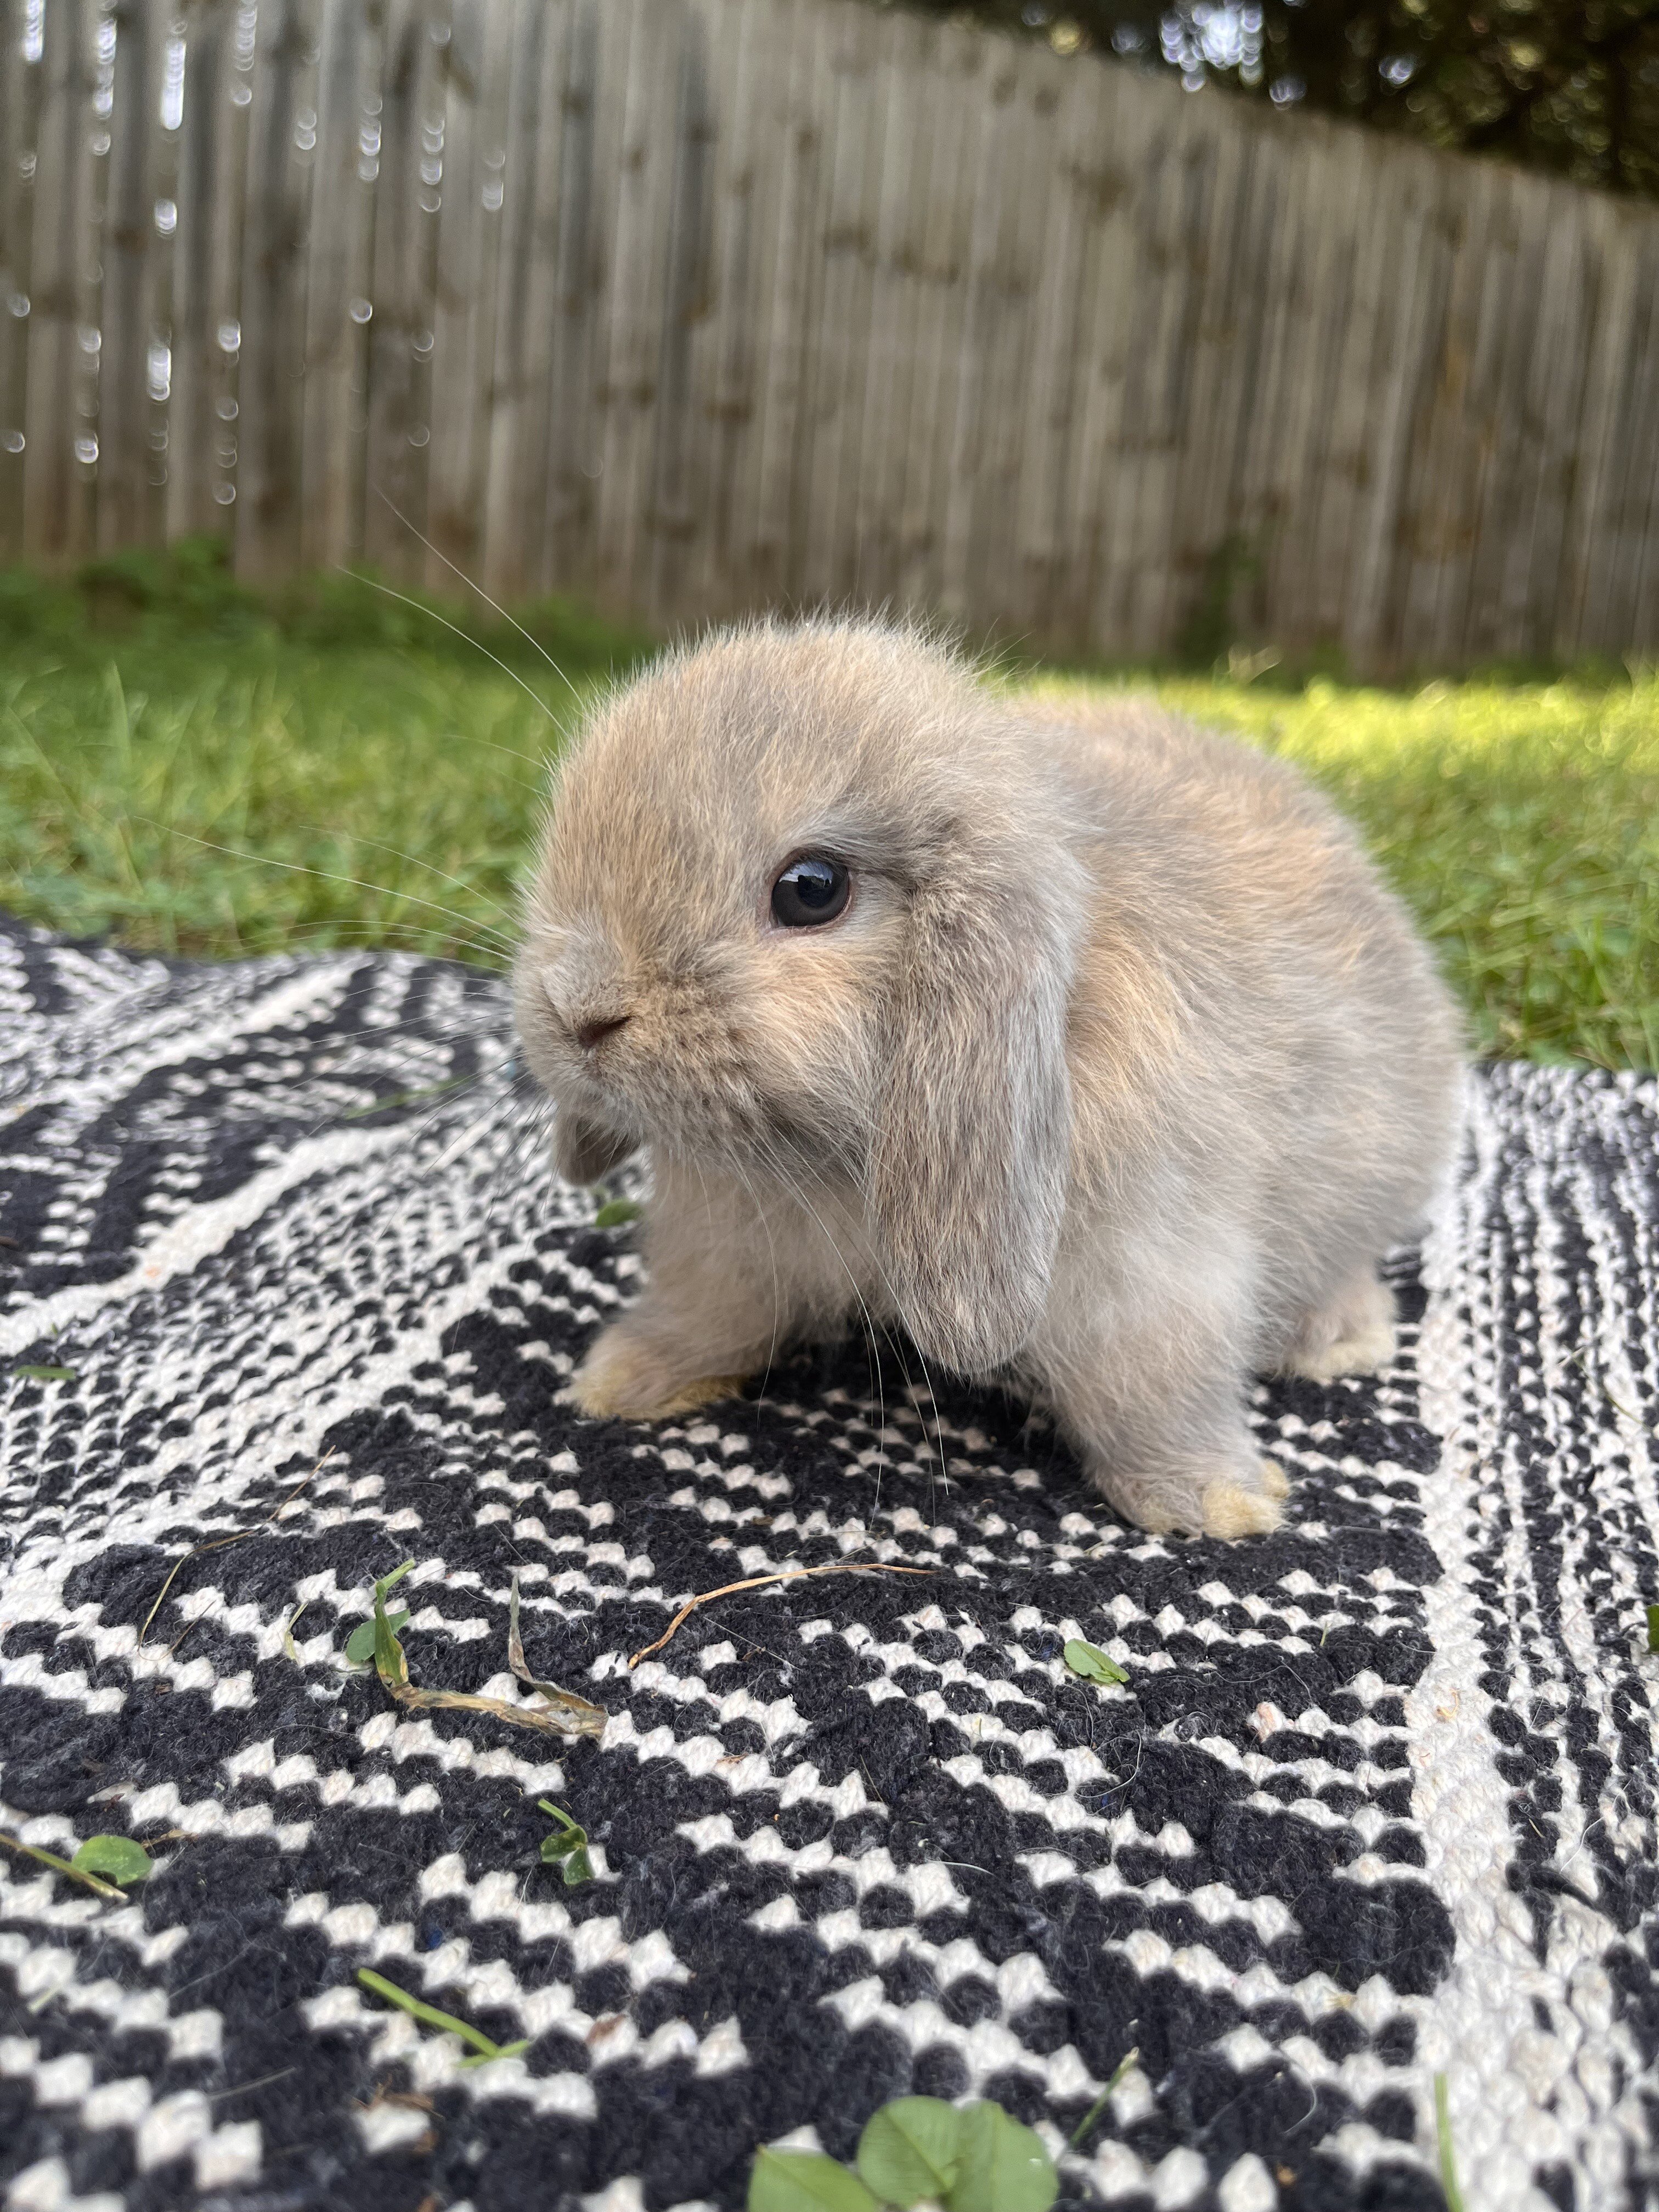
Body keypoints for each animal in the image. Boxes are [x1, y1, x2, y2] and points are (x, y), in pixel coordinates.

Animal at [512, 617, 1463, 1538]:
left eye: (812, 890)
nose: (579, 1009)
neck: (839, 1160)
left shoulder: (1149, 1276)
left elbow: (1153, 1391)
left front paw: (1215, 1502)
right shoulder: (728, 1242)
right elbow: (711, 1313)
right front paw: (627, 1377)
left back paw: (1337, 1339)